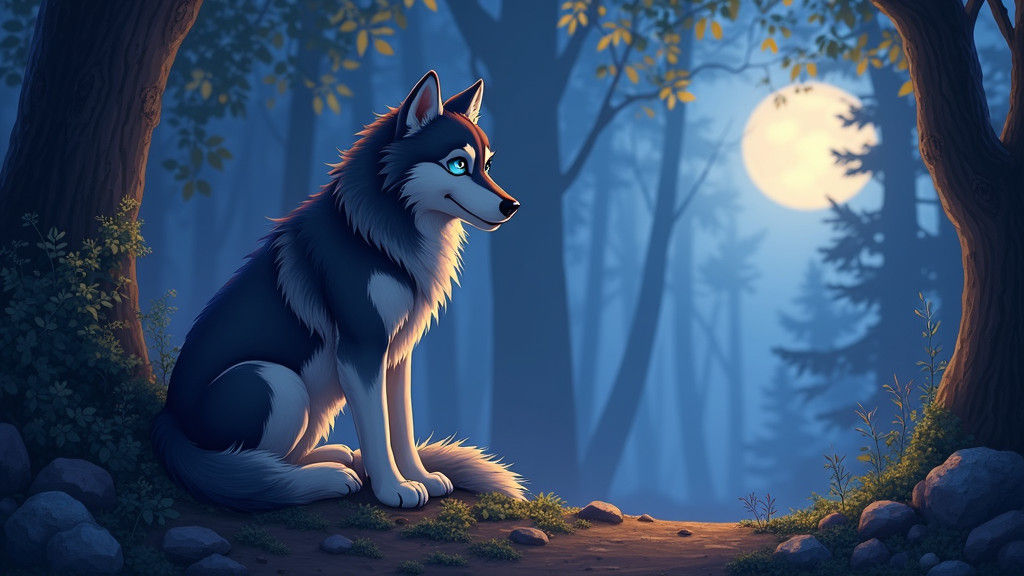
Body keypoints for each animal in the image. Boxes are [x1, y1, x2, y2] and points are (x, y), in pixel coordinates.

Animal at [152, 71, 524, 511]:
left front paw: (421, 477)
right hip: (277, 382)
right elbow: (378, 431)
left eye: (487, 165)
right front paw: (393, 489)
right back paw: (326, 477)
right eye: (457, 165)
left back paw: (334, 457)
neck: (377, 241)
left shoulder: (397, 355)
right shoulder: (362, 351)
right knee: (250, 469)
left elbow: (402, 426)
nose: (511, 206)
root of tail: (169, 418)